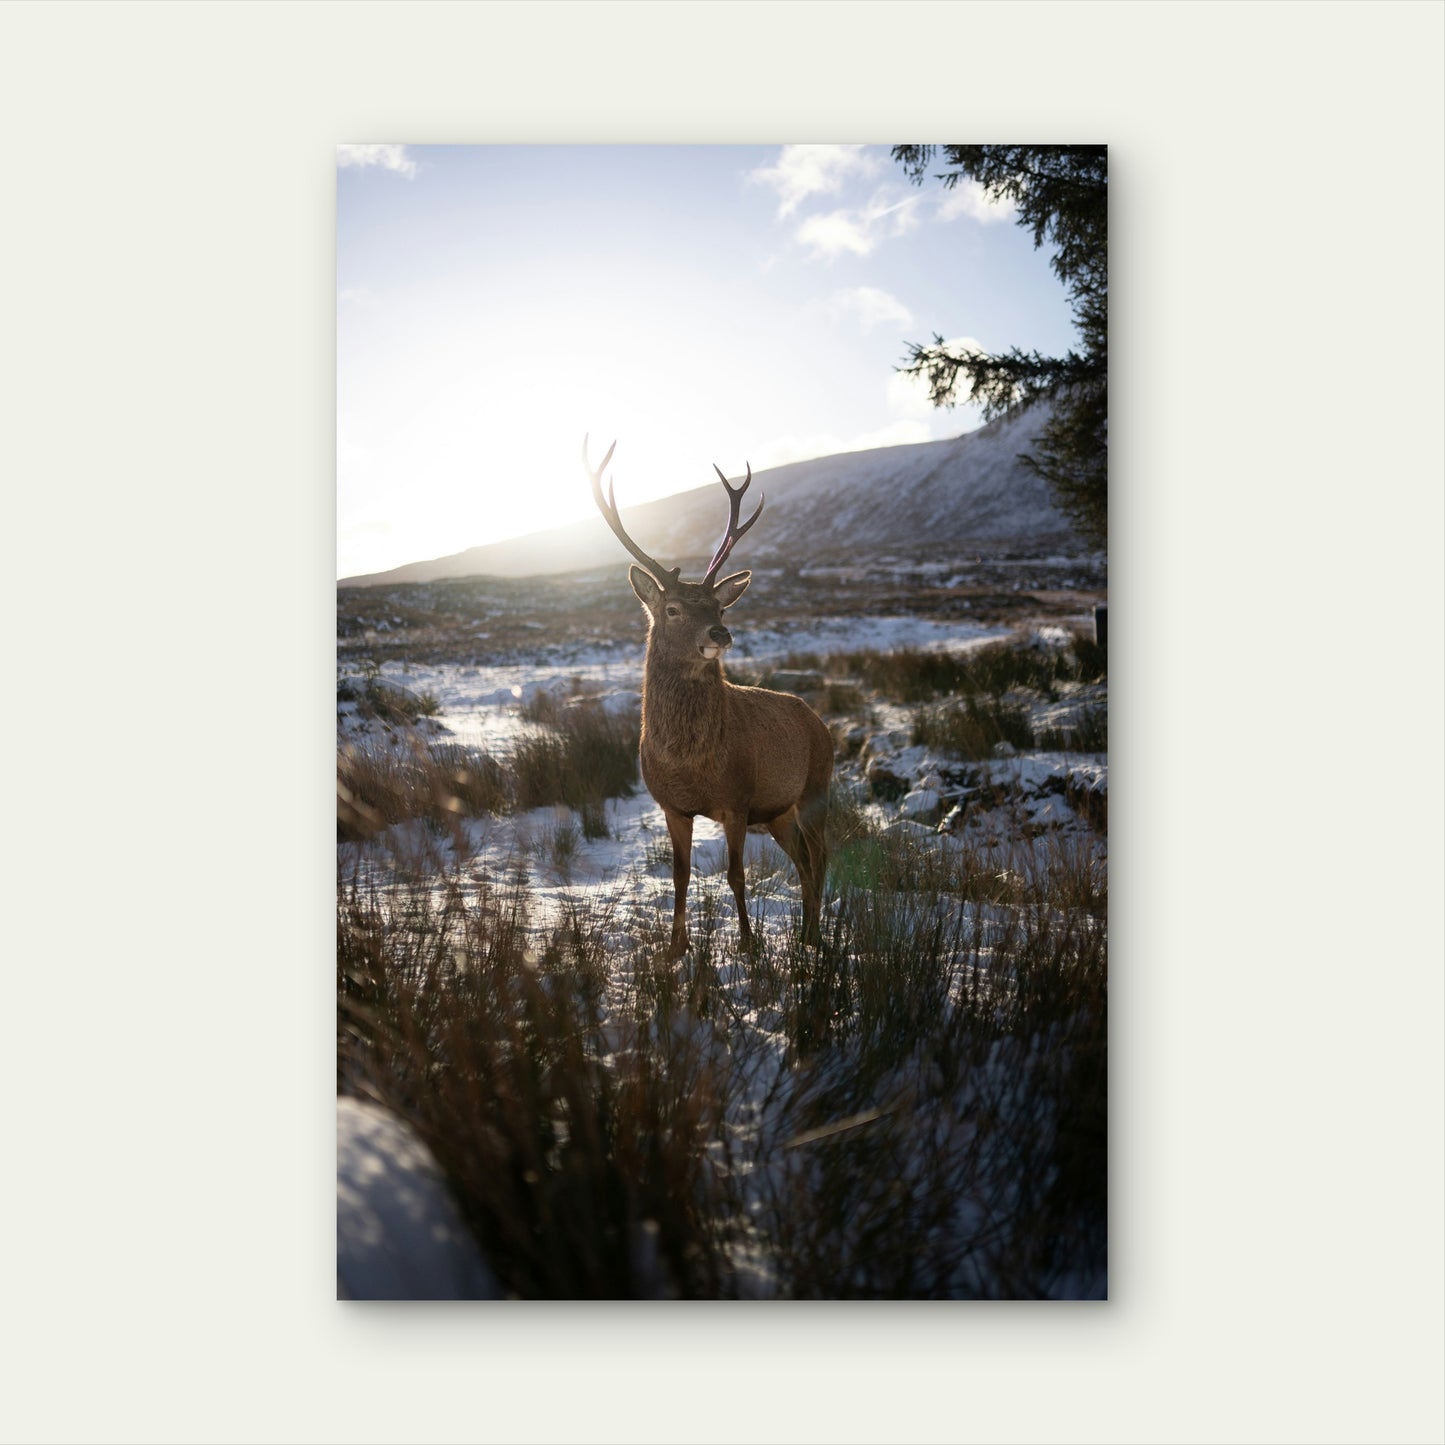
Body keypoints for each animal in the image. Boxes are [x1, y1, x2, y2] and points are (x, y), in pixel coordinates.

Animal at [585, 438, 833, 961]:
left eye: (719, 606)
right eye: (673, 609)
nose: (721, 632)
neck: (689, 760)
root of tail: (820, 722)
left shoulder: (736, 800)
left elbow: (736, 875)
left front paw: (748, 945)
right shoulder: (672, 806)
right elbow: (679, 876)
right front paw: (675, 948)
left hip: (816, 787)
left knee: (821, 855)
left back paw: (816, 936)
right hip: (779, 811)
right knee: (803, 861)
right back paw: (805, 935)